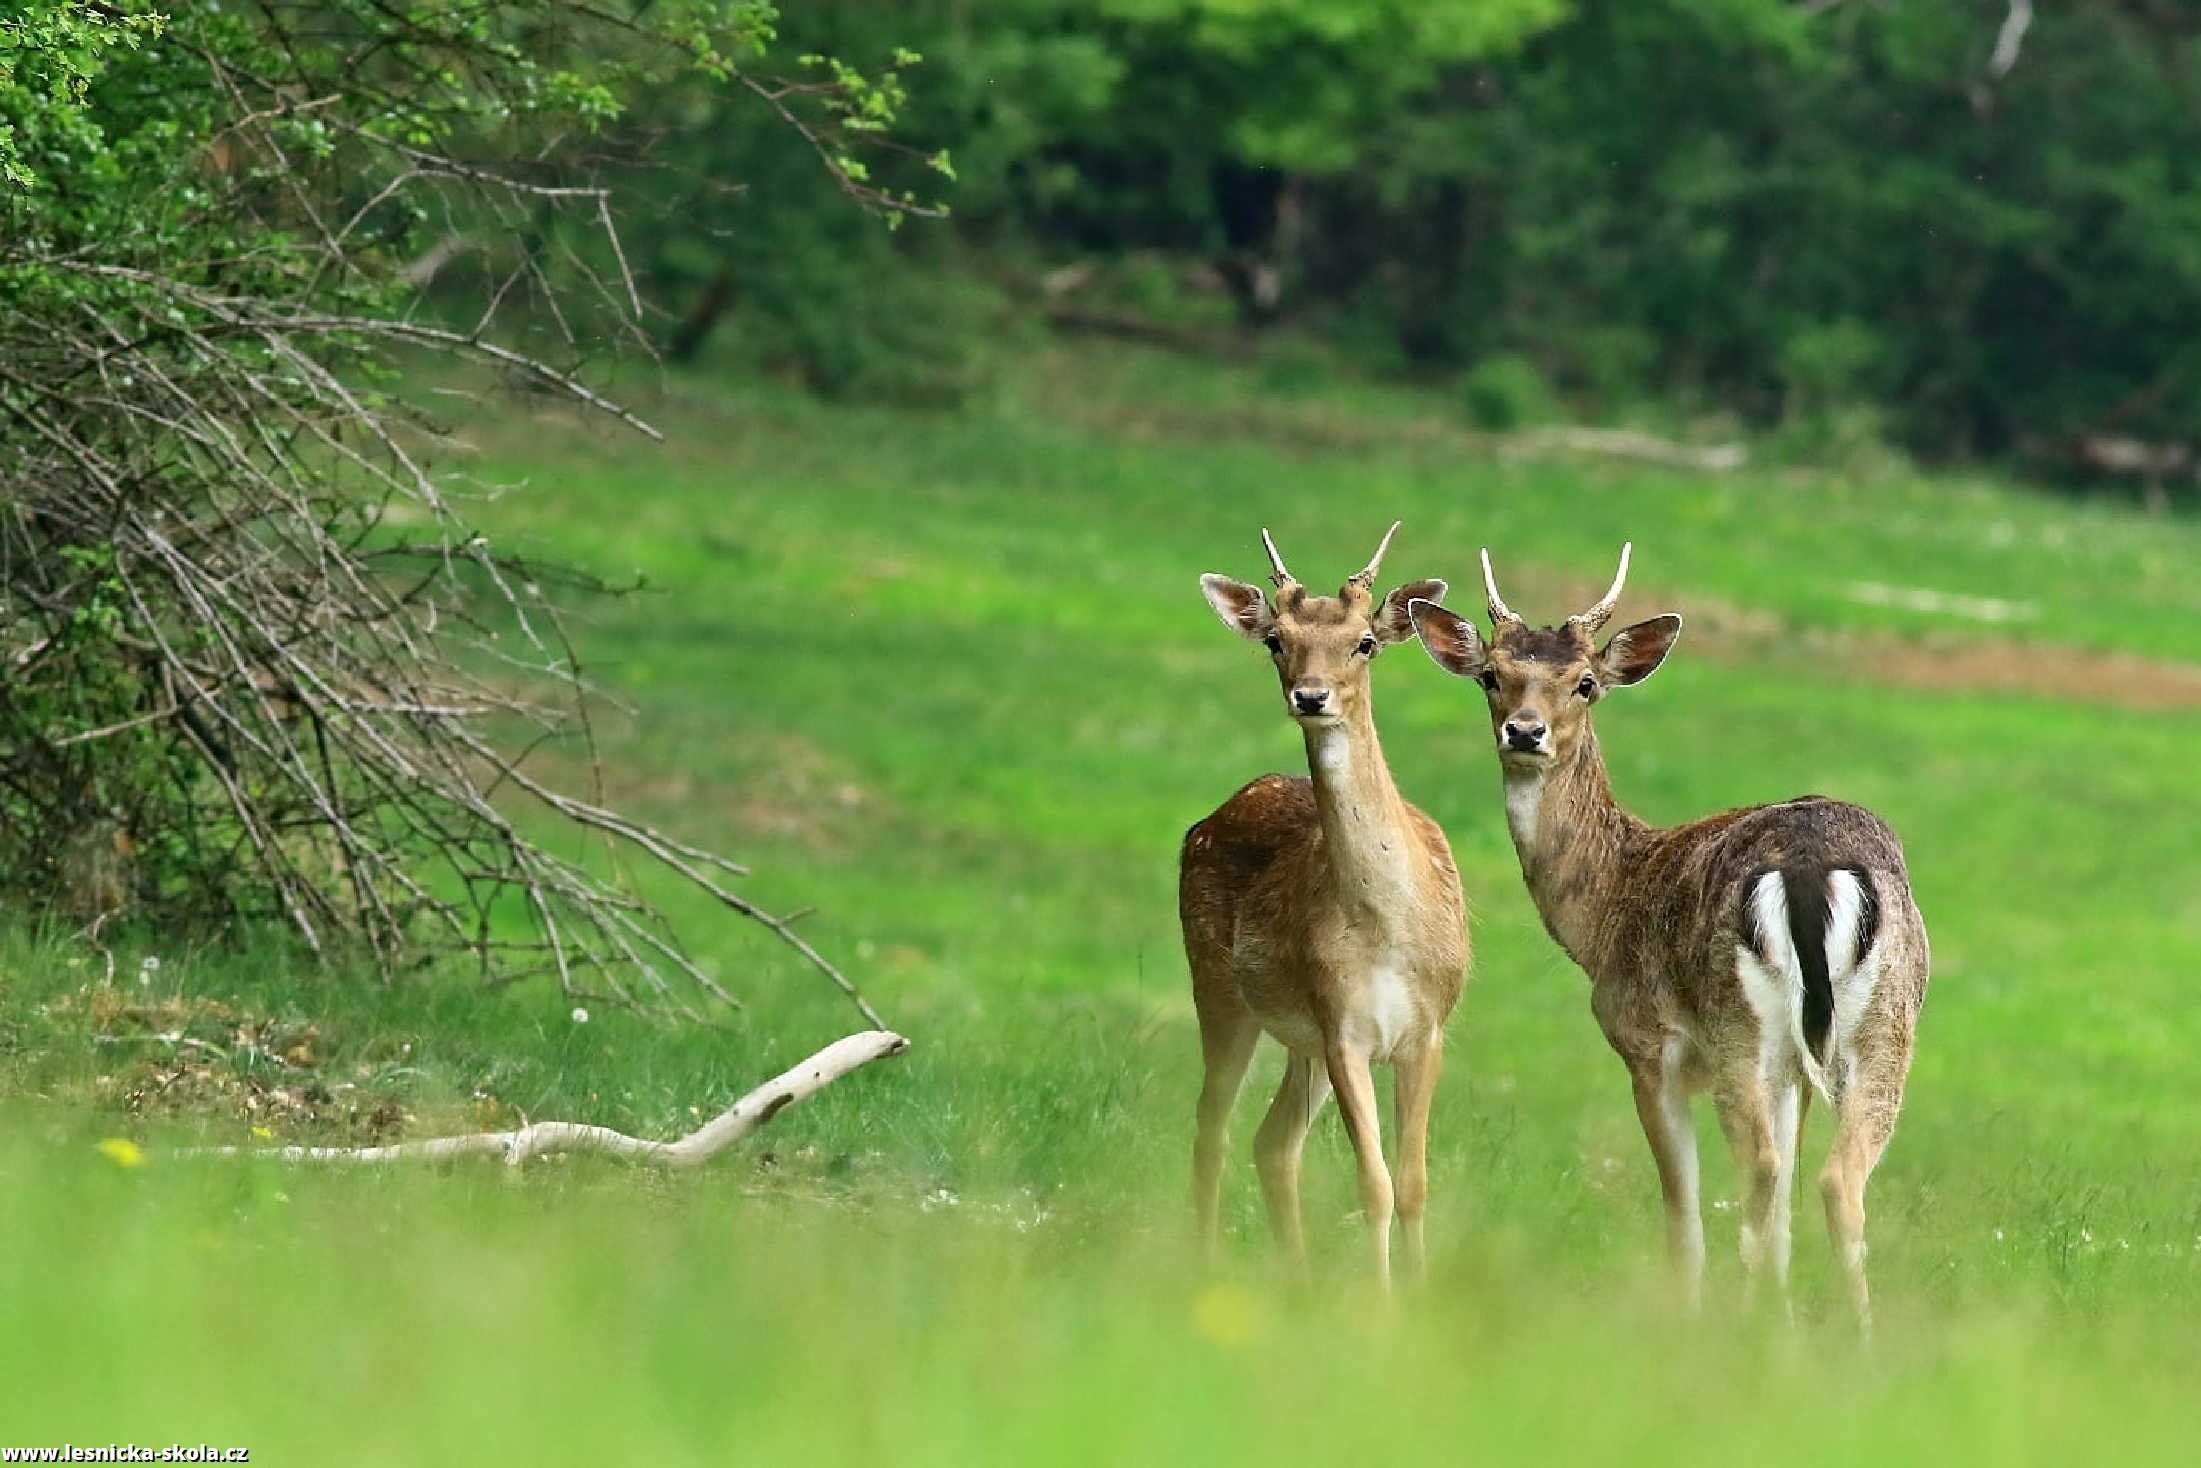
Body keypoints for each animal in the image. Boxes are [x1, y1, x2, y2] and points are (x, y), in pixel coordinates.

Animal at [1179, 526, 1470, 1285]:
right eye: (1275, 640)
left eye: (1364, 641)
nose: (1311, 697)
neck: (1388, 931)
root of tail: (1208, 819)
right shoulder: (1341, 1025)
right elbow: (1375, 1185)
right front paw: (1380, 1301)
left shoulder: (1428, 1029)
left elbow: (1414, 1184)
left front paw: (1421, 1293)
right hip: (1217, 986)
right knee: (1213, 1126)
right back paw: (1205, 1264)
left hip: (1297, 1040)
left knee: (1272, 1141)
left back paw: (1298, 1276)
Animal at [1408, 545, 1928, 1329]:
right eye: (1491, 675)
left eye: (1585, 682)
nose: (1524, 731)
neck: (1605, 914)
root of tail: (1812, 871)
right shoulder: (1791, 1073)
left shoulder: (1647, 1046)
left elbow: (1681, 1212)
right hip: (1883, 1022)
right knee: (1834, 1179)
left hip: (1739, 1025)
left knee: (1760, 1171)